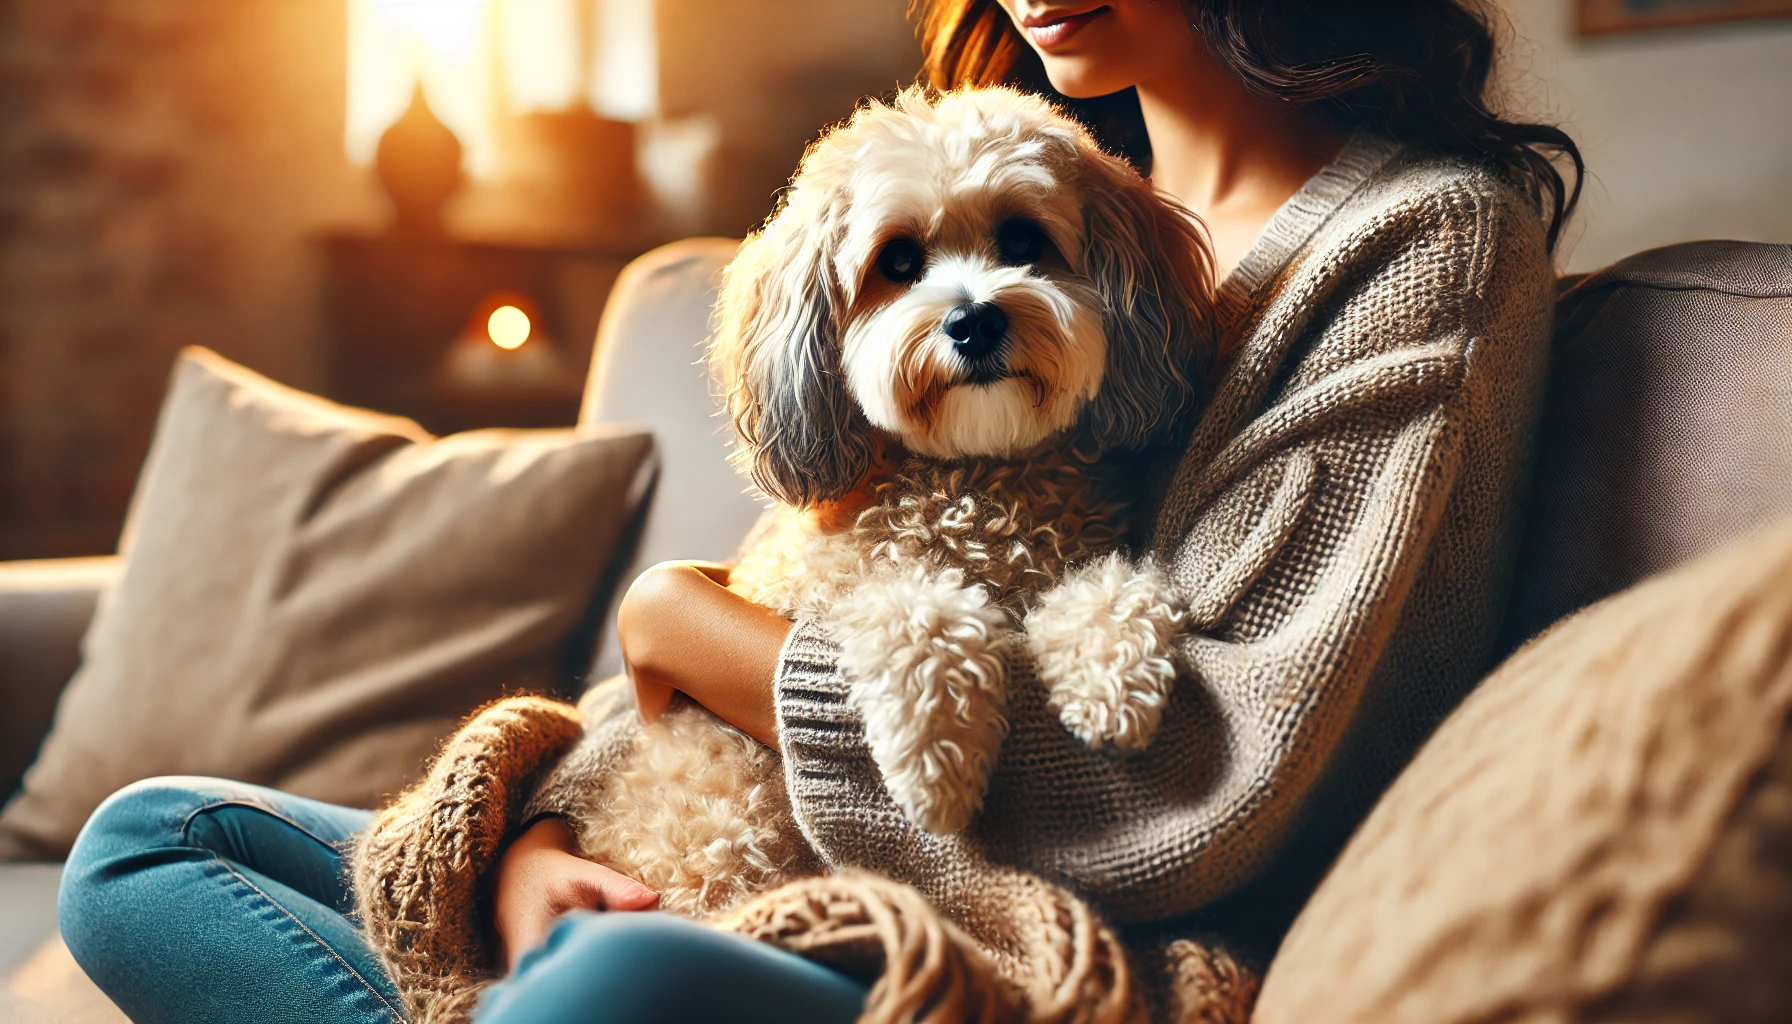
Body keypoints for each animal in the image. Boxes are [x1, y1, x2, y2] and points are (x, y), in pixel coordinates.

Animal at [562, 88, 1218, 918]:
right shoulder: (829, 598)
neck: (974, 480)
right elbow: (915, 610)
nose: (975, 320)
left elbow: (1116, 588)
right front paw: (940, 765)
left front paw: (1111, 680)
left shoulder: (1079, 557)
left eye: (1022, 238)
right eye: (898, 262)